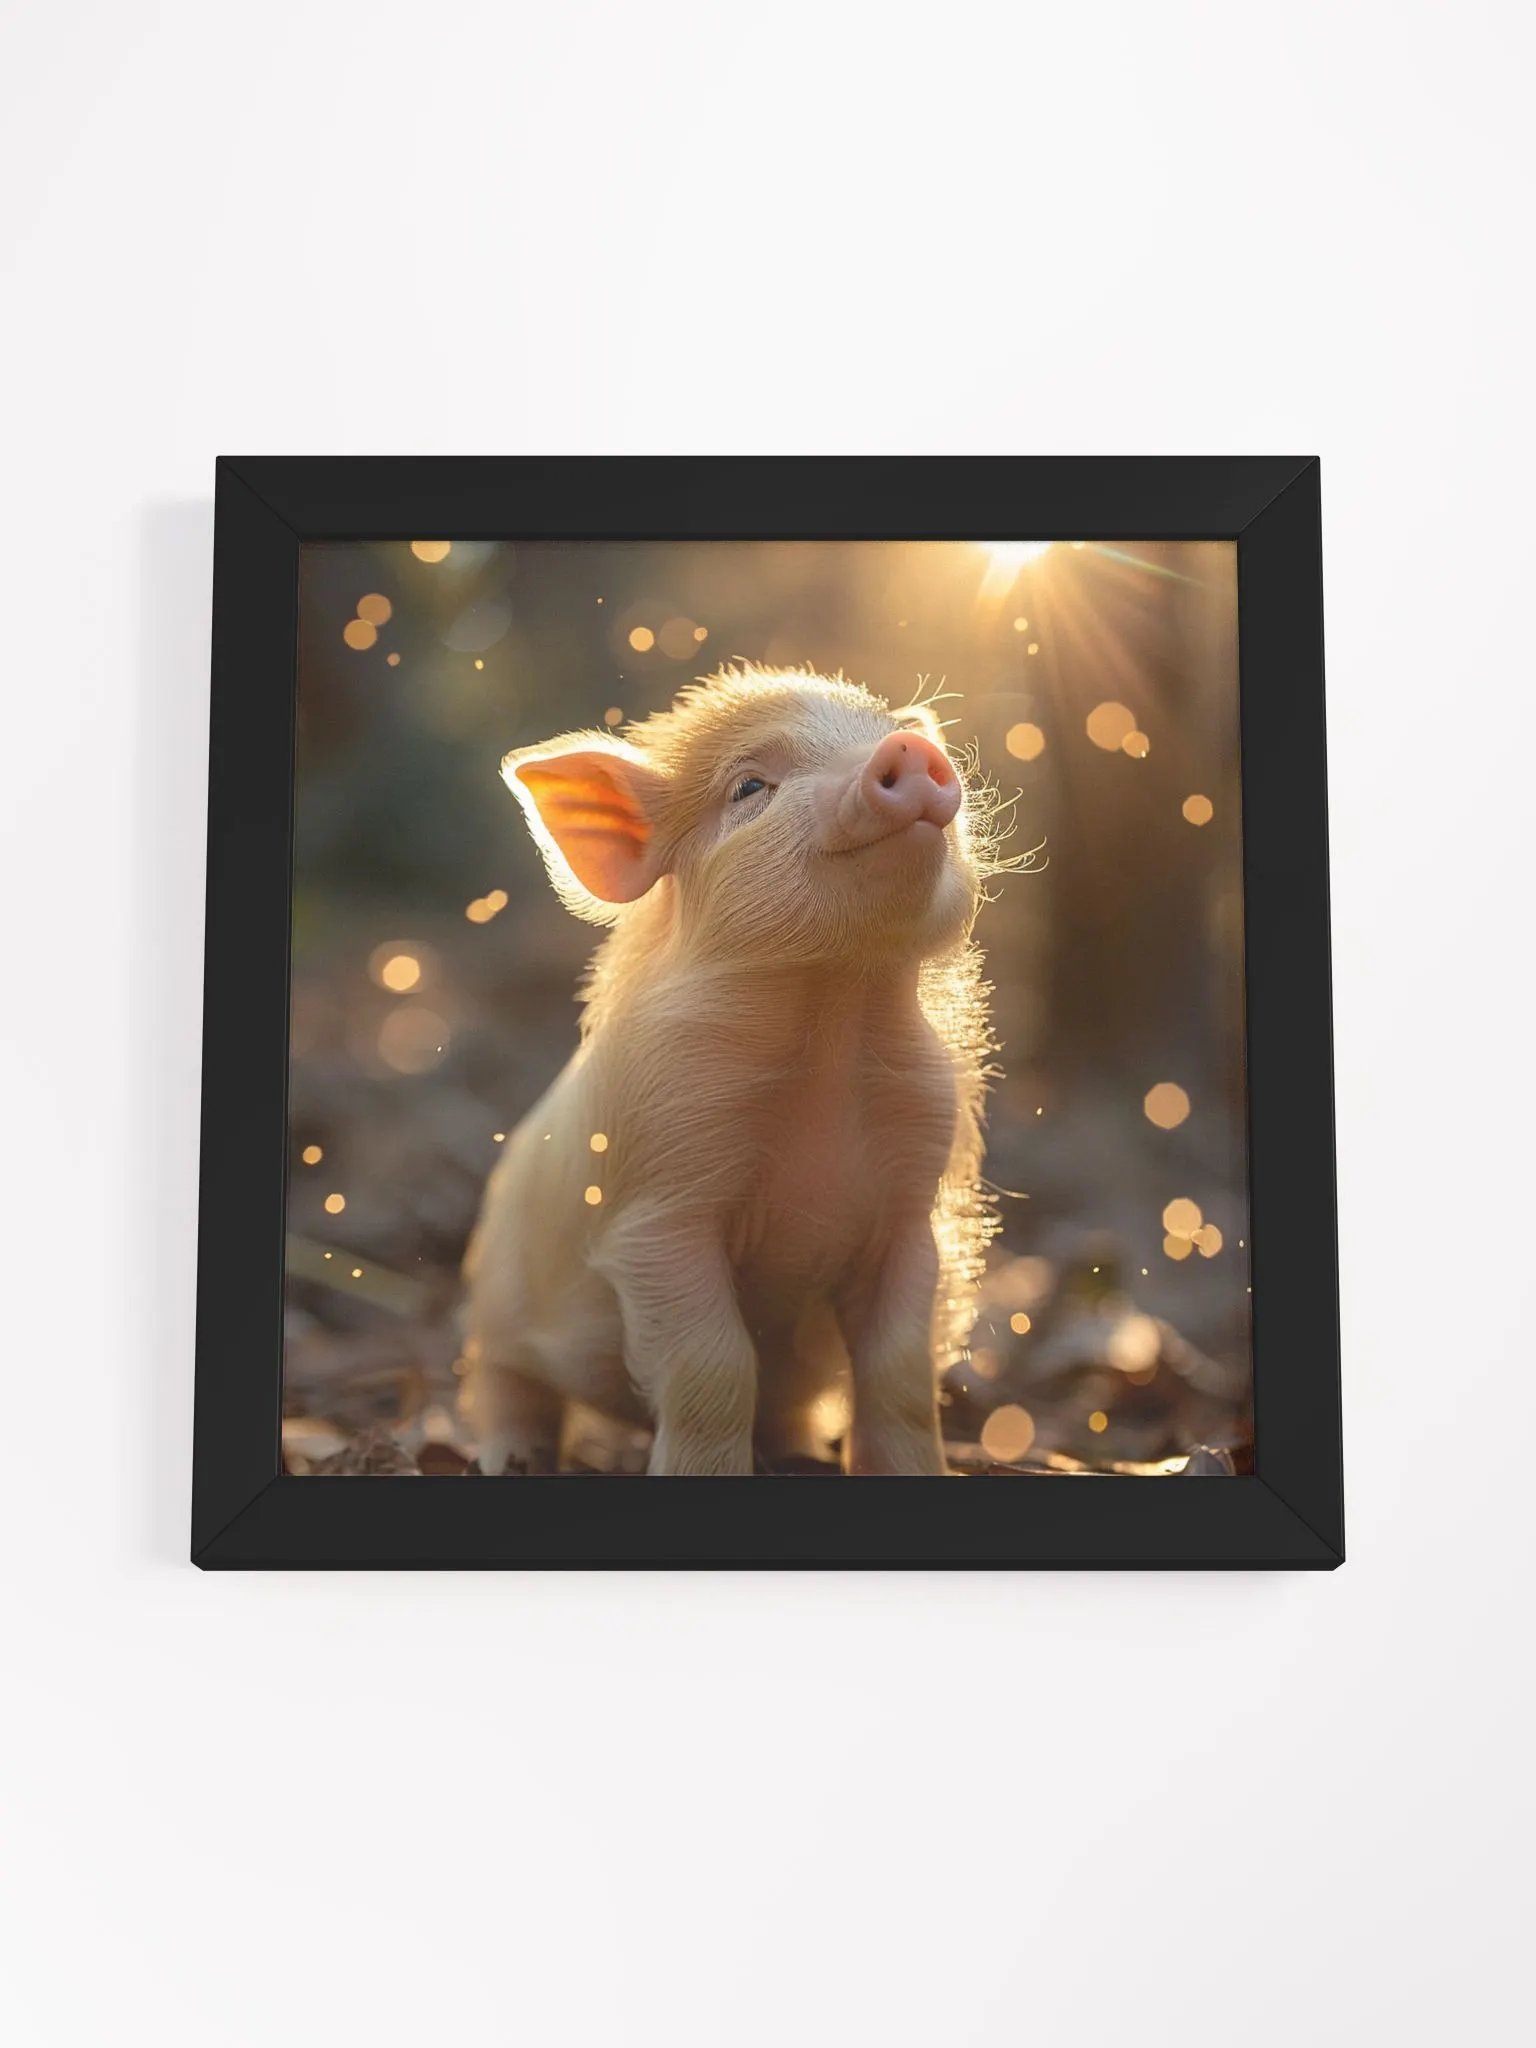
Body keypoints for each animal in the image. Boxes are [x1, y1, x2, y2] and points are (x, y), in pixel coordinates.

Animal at [459, 664, 1008, 1476]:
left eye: (880, 732)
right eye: (750, 786)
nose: (907, 748)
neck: (831, 1021)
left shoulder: (913, 1207)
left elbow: (901, 1370)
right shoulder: (659, 1205)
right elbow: (713, 1364)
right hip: (495, 1304)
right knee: (505, 1385)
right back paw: (513, 1458)